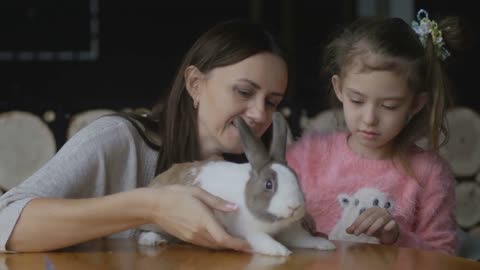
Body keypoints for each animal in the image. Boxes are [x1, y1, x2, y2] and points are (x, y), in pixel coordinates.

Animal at [137, 112, 336, 255]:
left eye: (296, 177)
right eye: (268, 184)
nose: (294, 206)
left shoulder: (289, 231)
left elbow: (304, 239)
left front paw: (325, 245)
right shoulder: (250, 232)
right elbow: (262, 240)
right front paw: (280, 251)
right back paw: (152, 240)